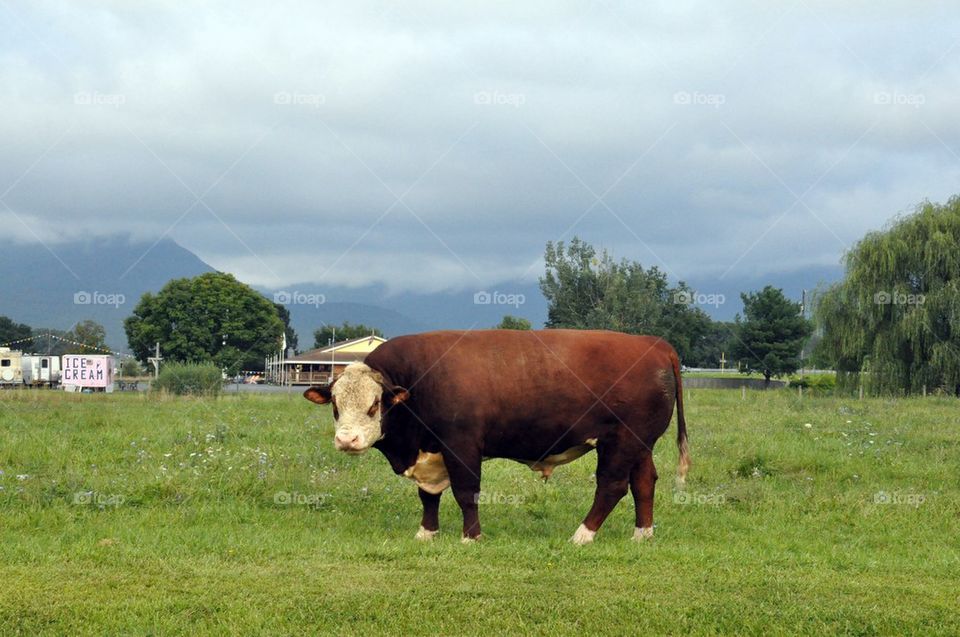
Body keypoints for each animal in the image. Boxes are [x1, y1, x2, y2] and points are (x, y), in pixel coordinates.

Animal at [303, 329, 690, 544]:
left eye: (373, 406)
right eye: (335, 405)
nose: (347, 440)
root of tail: (653, 343)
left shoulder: (461, 445)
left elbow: (465, 493)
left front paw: (471, 537)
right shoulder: (431, 452)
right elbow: (428, 496)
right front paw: (426, 533)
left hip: (620, 442)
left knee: (612, 486)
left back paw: (583, 535)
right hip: (641, 443)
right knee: (644, 482)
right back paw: (642, 534)